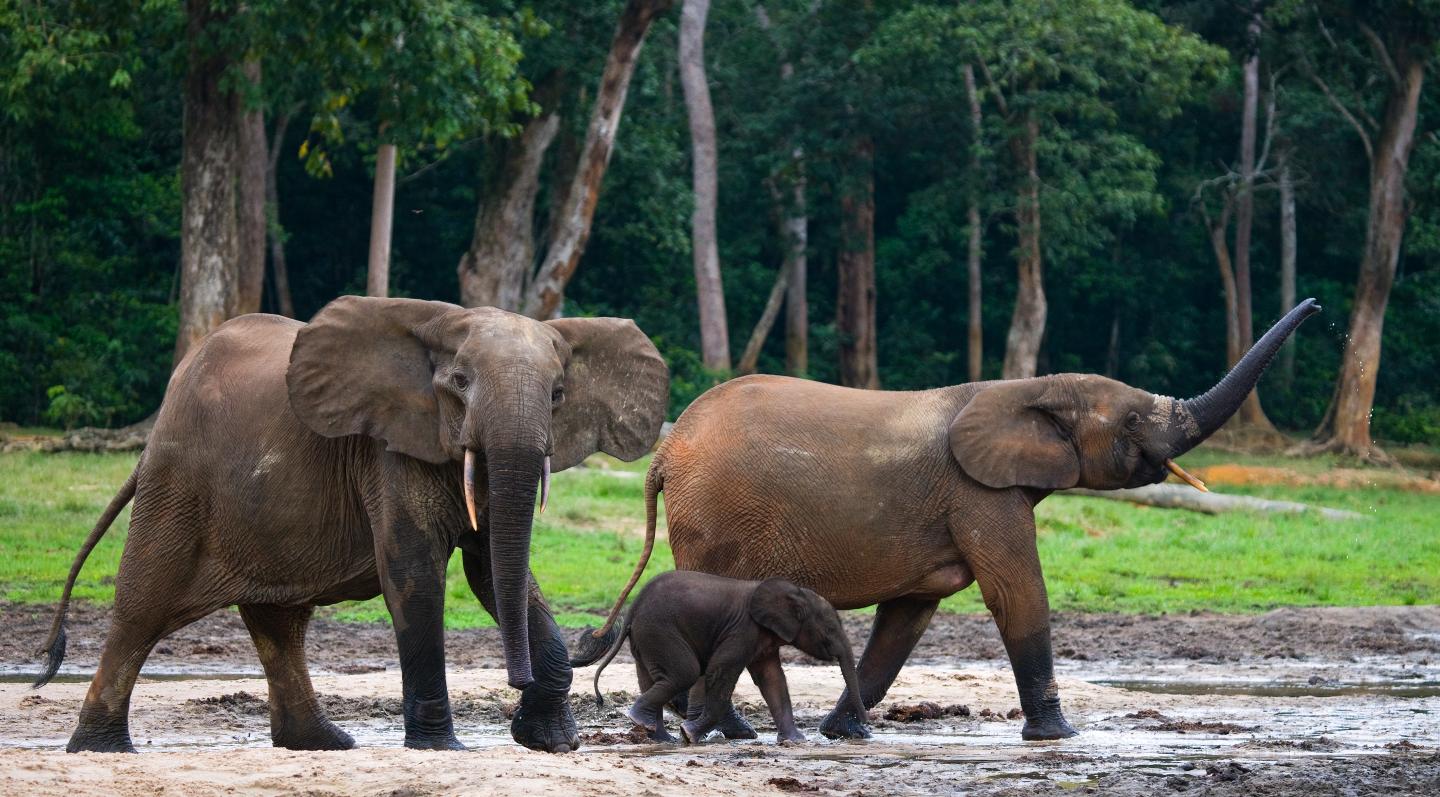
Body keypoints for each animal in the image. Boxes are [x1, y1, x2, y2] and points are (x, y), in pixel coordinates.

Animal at [34, 296, 668, 754]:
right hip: (178, 484)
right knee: (142, 607)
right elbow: (415, 575)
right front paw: (441, 748)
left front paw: (553, 743)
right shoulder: (389, 451)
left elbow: (495, 571)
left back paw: (323, 744)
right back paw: (100, 750)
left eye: (558, 395)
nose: (515, 683)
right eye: (460, 383)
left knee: (279, 623)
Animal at [572, 571, 867, 744]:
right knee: (686, 672)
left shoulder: (762, 638)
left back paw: (661, 738)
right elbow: (720, 671)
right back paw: (646, 723)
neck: (795, 592)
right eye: (830, 631)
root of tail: (632, 610)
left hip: (646, 638)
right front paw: (689, 734)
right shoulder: (742, 629)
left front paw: (796, 742)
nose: (865, 725)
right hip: (659, 629)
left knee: (652, 679)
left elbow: (773, 680)